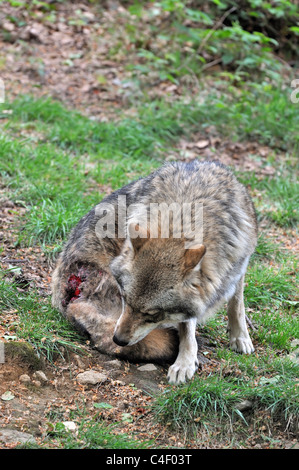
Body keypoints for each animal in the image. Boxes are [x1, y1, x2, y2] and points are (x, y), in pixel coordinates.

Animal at [51, 160, 258, 384]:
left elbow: (236, 304)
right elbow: (187, 327)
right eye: (124, 299)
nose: (119, 339)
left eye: (153, 314)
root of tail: (69, 301)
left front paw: (240, 337)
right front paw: (185, 362)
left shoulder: (239, 264)